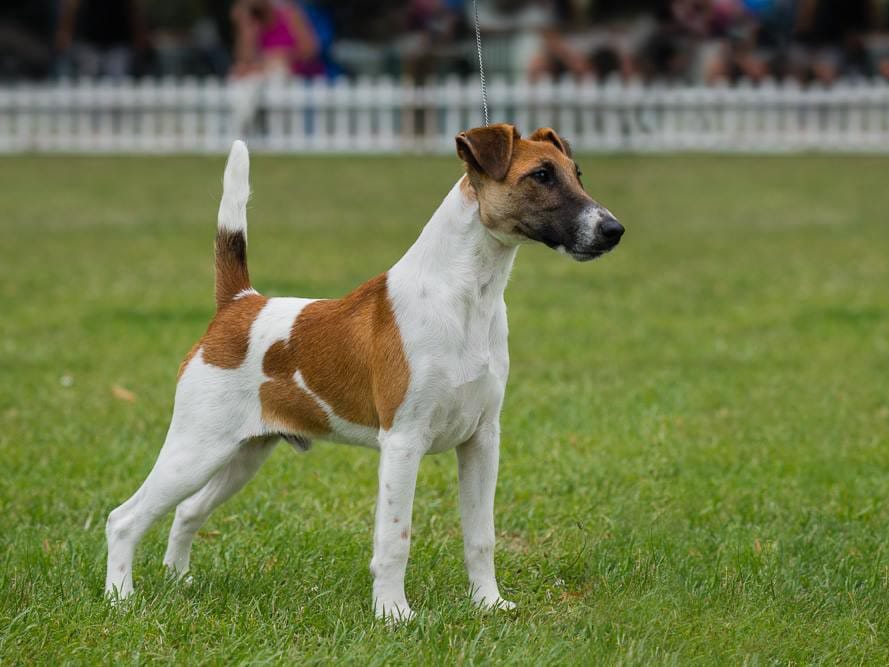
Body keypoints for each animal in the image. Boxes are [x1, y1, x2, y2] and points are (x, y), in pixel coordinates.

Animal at [106, 124, 624, 620]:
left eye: (577, 173)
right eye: (540, 176)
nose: (613, 230)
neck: (465, 297)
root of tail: (238, 304)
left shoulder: (482, 440)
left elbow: (481, 536)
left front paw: (489, 604)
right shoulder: (403, 442)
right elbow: (395, 539)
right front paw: (393, 613)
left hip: (241, 455)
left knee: (186, 512)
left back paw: (179, 581)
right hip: (196, 448)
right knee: (124, 519)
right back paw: (120, 600)